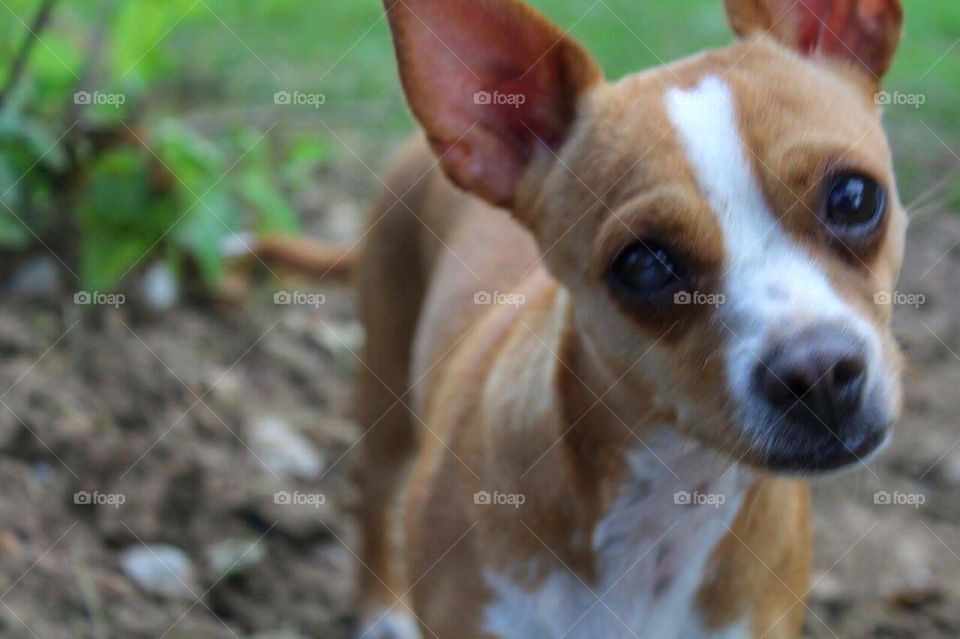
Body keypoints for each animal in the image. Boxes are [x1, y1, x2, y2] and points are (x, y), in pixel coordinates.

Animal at [334, 1, 904, 639]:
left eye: (854, 197)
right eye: (644, 264)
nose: (819, 369)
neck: (668, 501)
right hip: (386, 395)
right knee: (373, 487)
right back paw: (381, 607)